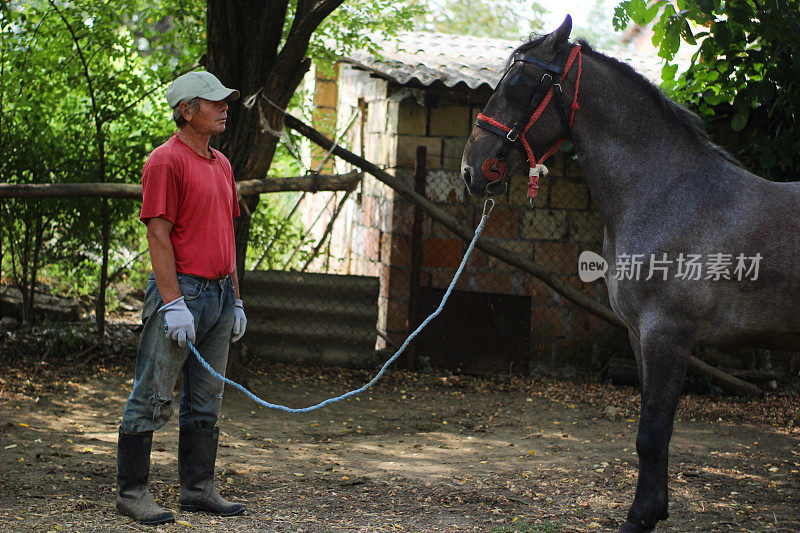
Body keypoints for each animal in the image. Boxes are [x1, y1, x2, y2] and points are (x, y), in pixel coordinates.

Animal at [462, 15, 800, 532]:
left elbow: (653, 430)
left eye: (519, 83)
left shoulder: (668, 333)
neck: (667, 194)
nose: (472, 170)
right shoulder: (640, 335)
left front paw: (639, 518)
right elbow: (653, 431)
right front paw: (654, 509)